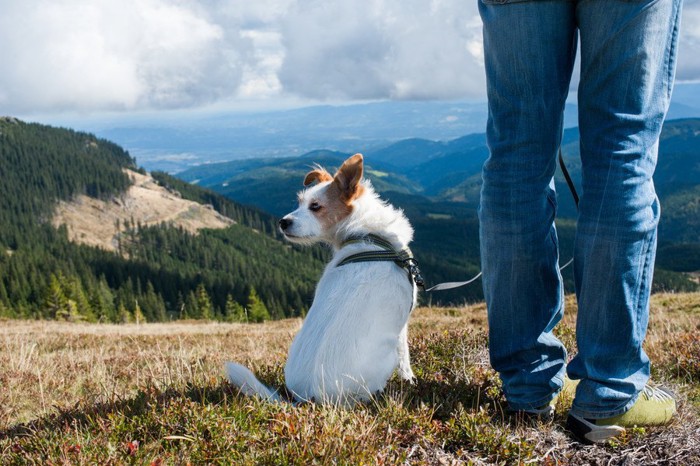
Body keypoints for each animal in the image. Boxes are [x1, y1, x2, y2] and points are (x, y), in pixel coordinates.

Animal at [227, 155, 418, 406]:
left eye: (315, 206)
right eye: (300, 202)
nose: (282, 222)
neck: (366, 236)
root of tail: (308, 398)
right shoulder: (402, 325)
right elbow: (406, 359)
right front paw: (410, 380)